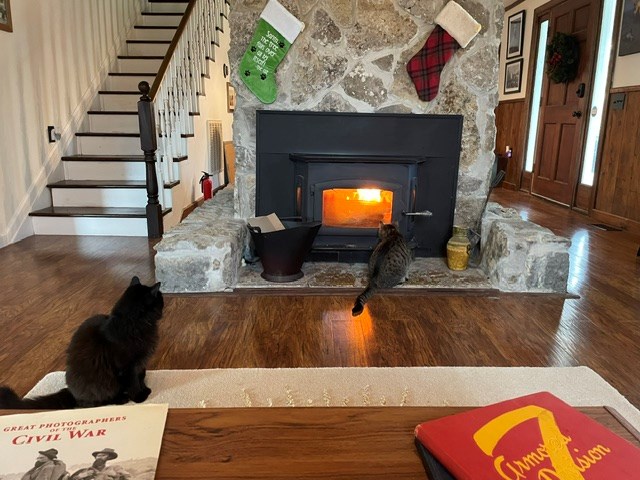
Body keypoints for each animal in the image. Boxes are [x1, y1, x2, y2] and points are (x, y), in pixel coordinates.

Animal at [0, 278, 162, 408]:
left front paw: (145, 389)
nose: (162, 310)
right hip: (103, 384)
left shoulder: (140, 364)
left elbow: (140, 378)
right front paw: (140, 398)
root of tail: (71, 392)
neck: (133, 325)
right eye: (161, 301)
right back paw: (120, 399)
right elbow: (133, 383)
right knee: (91, 403)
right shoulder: (127, 367)